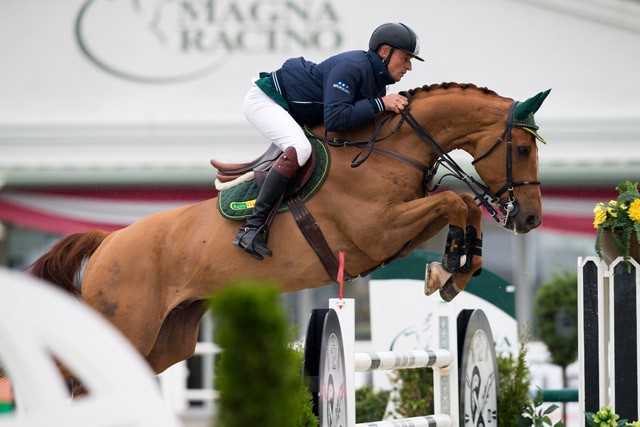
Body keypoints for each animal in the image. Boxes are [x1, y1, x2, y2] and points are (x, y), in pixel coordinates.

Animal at [28, 82, 552, 376]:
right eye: (523, 149)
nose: (530, 219)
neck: (388, 149)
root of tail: (109, 241)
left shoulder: (397, 231)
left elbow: (461, 205)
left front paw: (456, 270)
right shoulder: (377, 231)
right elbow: (452, 200)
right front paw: (448, 270)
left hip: (165, 341)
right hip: (126, 328)